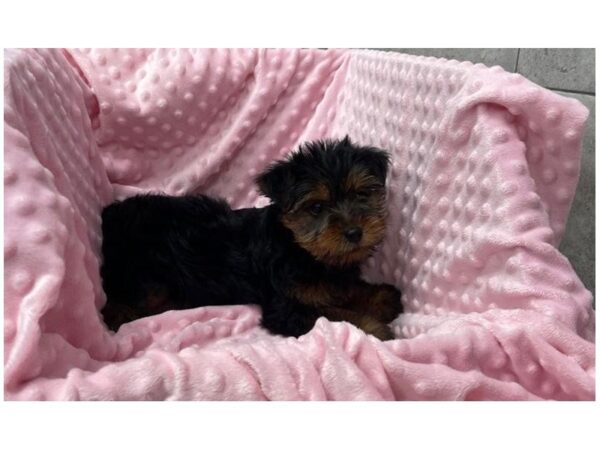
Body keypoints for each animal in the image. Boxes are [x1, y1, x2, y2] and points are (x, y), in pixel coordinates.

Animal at [101, 135, 404, 340]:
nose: (354, 232)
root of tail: (111, 216)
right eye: (316, 207)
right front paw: (375, 328)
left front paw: (382, 298)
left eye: (362, 194)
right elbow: (334, 314)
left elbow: (346, 290)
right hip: (146, 271)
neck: (300, 249)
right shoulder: (285, 307)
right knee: (118, 303)